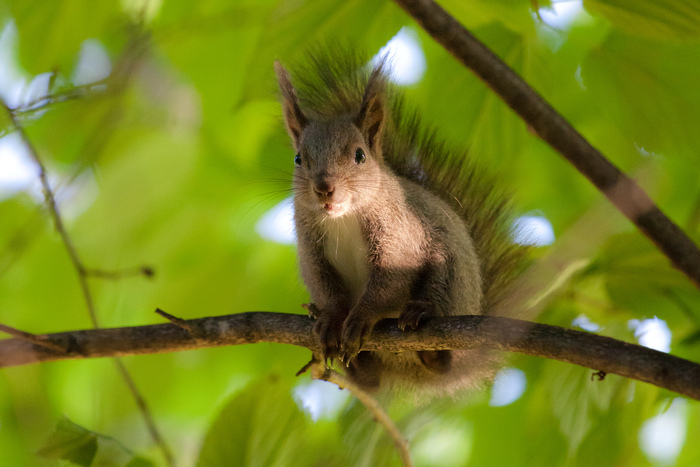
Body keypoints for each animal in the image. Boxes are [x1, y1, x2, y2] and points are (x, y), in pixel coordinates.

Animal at [274, 50, 524, 394]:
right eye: (299, 159)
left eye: (359, 155)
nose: (324, 188)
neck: (343, 218)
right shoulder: (311, 248)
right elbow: (324, 285)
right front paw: (330, 319)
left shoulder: (399, 233)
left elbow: (391, 281)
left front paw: (361, 317)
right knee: (370, 381)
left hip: (452, 276)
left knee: (440, 346)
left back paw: (423, 319)